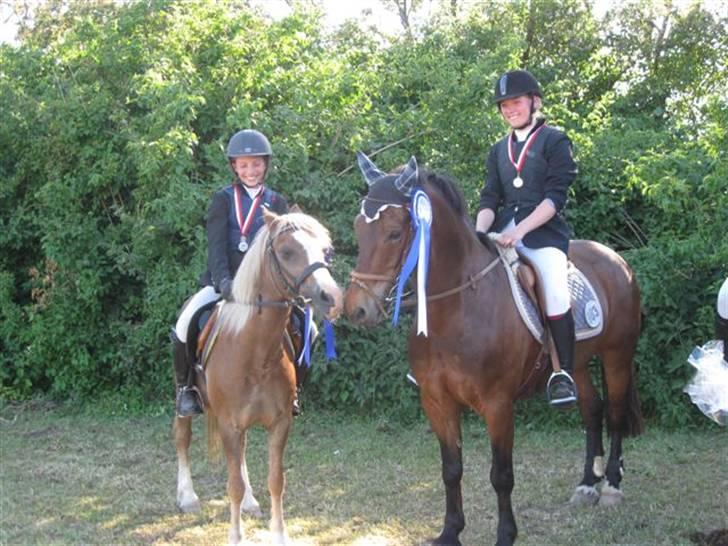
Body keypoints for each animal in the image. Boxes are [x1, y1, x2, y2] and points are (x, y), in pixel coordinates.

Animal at [173, 209, 342, 544]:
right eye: (287, 252)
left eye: (326, 250)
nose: (331, 297)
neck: (256, 353)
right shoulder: (229, 424)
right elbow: (233, 486)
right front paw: (236, 537)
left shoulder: (279, 423)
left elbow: (276, 480)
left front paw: (279, 535)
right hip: (184, 396)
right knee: (183, 437)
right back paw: (187, 497)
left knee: (242, 454)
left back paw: (251, 502)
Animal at [342, 157, 644, 544]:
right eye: (358, 228)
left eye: (395, 233)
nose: (357, 310)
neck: (457, 307)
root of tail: (616, 260)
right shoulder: (436, 401)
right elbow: (451, 469)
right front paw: (450, 531)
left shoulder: (498, 405)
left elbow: (501, 475)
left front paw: (505, 534)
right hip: (575, 363)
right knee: (592, 410)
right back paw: (587, 484)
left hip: (617, 356)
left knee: (616, 413)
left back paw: (611, 487)